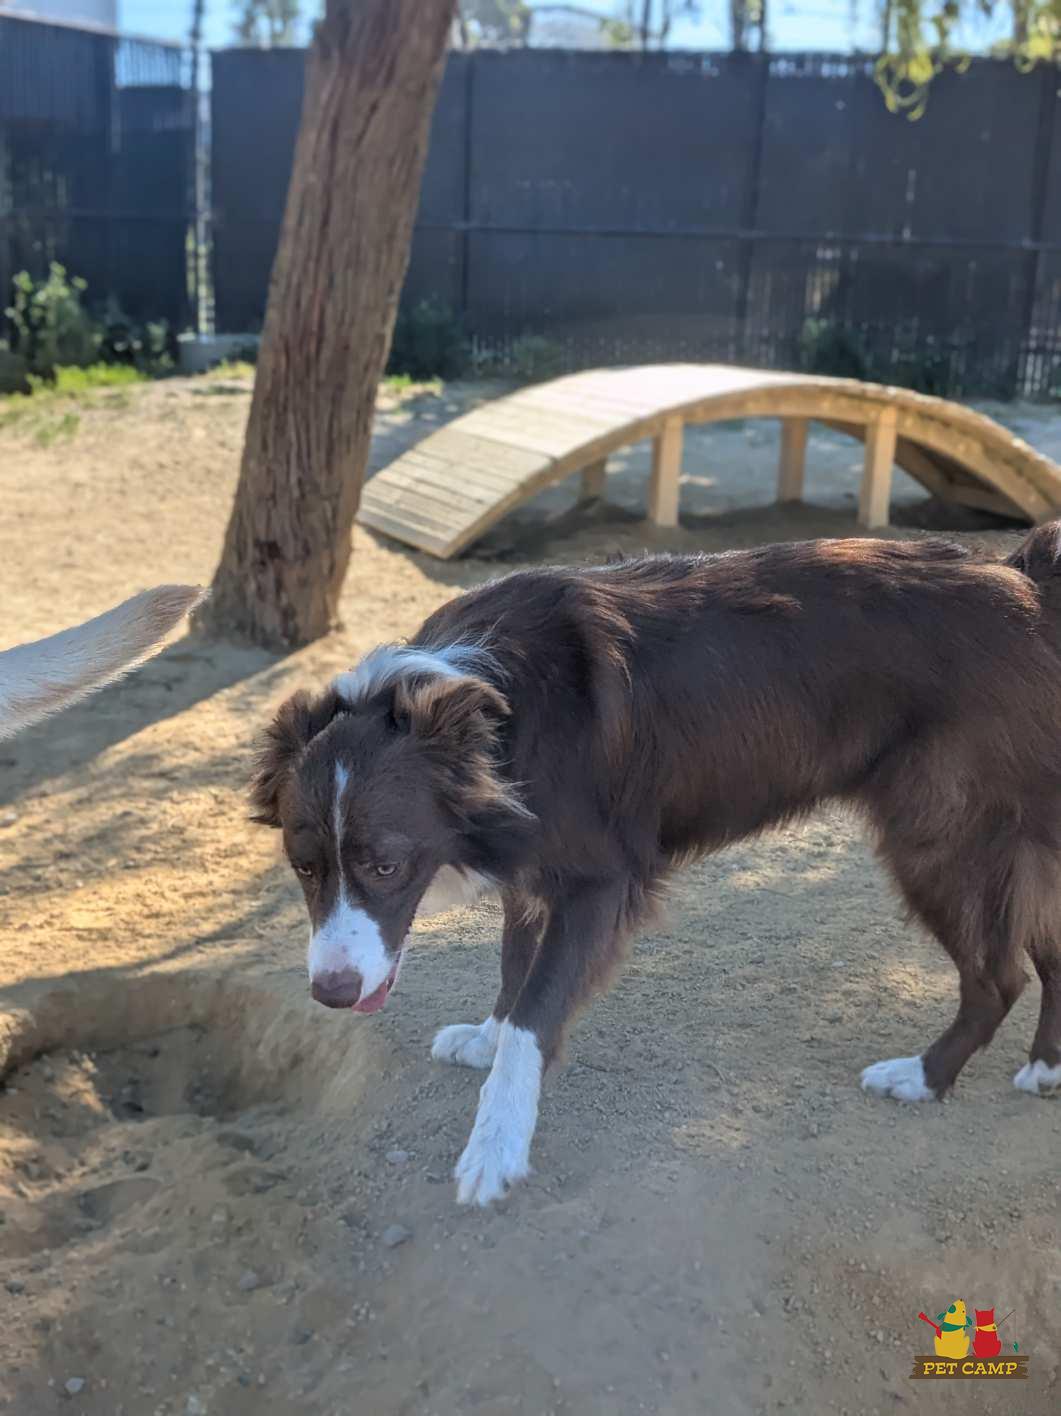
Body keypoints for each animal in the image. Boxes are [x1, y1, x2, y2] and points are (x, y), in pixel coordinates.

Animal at [250, 525, 1061, 1206]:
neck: (491, 717)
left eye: (386, 866)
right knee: (1048, 950)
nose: (330, 994)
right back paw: (1046, 1068)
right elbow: (513, 971)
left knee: (998, 977)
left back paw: (922, 1078)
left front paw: (495, 1146)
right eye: (304, 868)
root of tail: (1021, 575)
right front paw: (485, 1037)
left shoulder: (598, 884)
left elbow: (535, 1013)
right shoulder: (530, 871)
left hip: (937, 843)